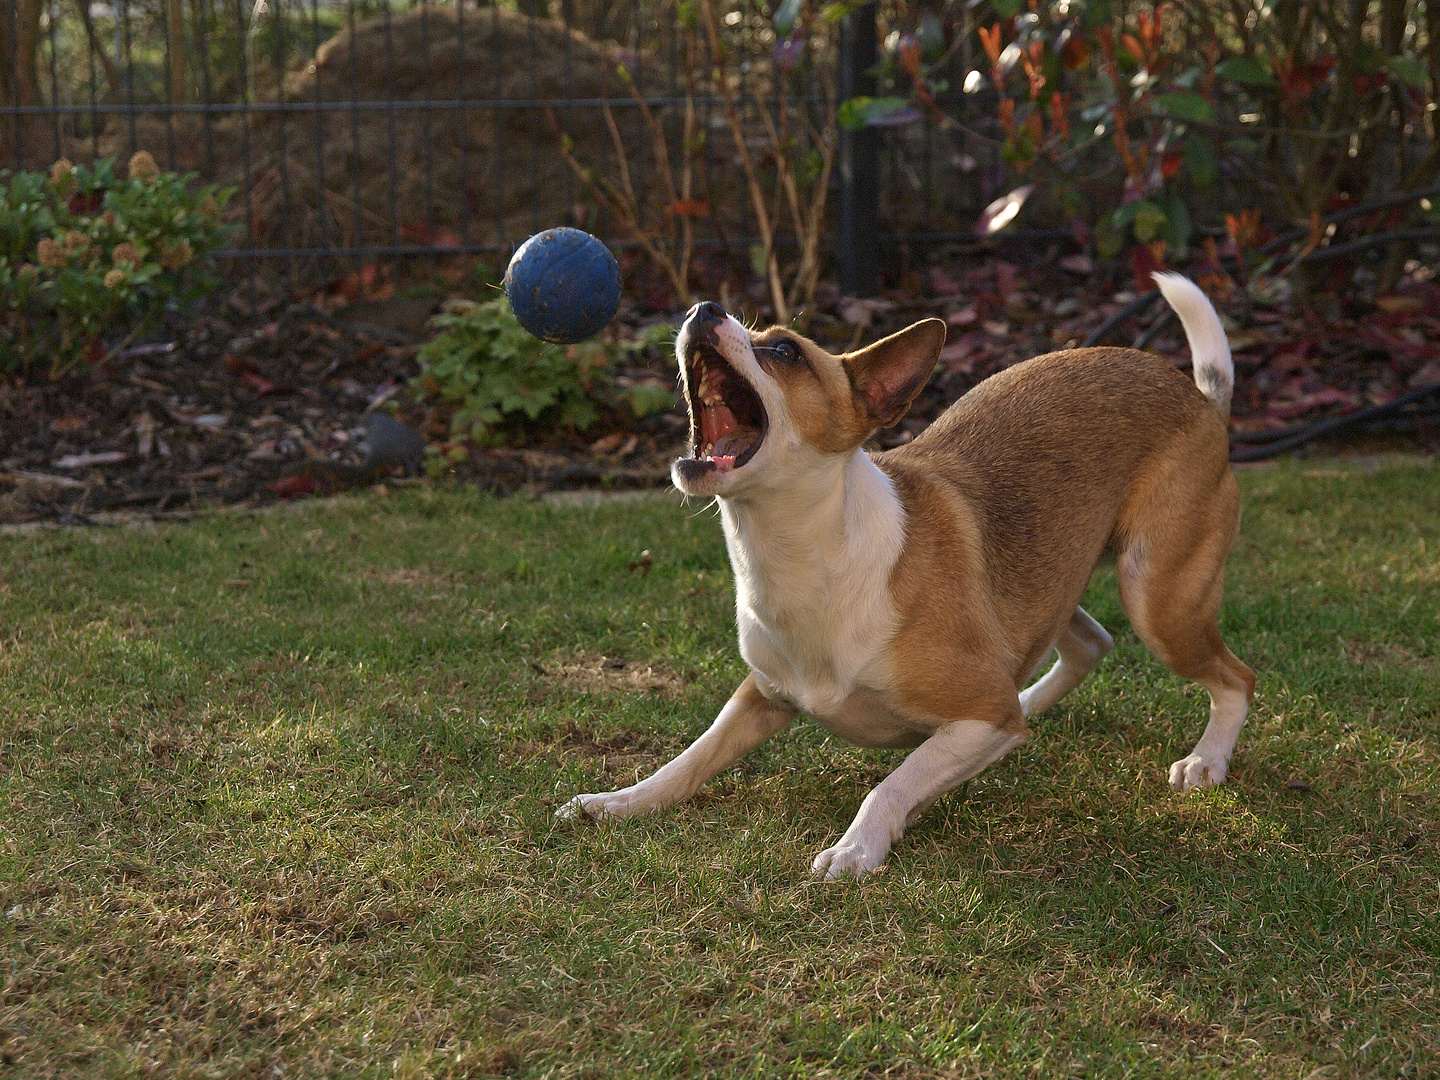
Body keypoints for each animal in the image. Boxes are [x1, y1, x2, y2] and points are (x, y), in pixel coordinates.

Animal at [555, 270, 1255, 881]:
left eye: (784, 350)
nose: (703, 309)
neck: (805, 559)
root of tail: (1200, 398)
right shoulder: (761, 696)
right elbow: (689, 759)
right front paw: (620, 802)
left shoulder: (980, 716)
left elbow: (892, 785)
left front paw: (856, 847)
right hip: (1062, 582)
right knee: (1088, 641)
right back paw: (1032, 705)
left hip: (1157, 595)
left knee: (1234, 678)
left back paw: (1206, 761)